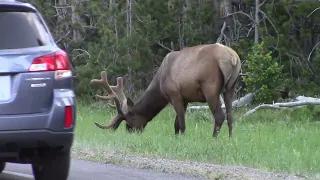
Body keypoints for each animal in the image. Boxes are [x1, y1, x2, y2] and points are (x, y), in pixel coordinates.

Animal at [90, 43, 240, 137]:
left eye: (129, 120)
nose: (129, 131)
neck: (160, 85)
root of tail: (233, 58)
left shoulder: (174, 94)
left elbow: (181, 122)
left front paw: (183, 138)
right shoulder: (185, 98)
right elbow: (176, 123)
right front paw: (176, 137)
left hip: (210, 87)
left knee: (220, 115)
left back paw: (214, 138)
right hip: (230, 87)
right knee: (230, 116)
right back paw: (230, 138)